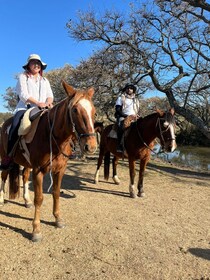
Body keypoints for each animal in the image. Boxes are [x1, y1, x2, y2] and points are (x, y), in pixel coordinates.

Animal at [0, 80, 97, 241]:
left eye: (94, 112)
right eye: (75, 110)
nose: (91, 146)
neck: (51, 136)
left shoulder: (60, 170)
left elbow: (56, 193)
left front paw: (58, 219)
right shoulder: (38, 171)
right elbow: (39, 199)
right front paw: (36, 230)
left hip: (26, 164)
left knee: (24, 177)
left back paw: (26, 201)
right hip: (5, 157)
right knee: (4, 175)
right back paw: (1, 199)